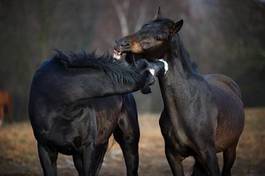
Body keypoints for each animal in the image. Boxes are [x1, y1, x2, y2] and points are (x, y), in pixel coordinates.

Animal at [113, 10, 243, 176]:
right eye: (143, 27)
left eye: (159, 36)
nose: (121, 43)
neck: (188, 105)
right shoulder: (173, 156)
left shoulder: (208, 154)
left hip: (230, 148)